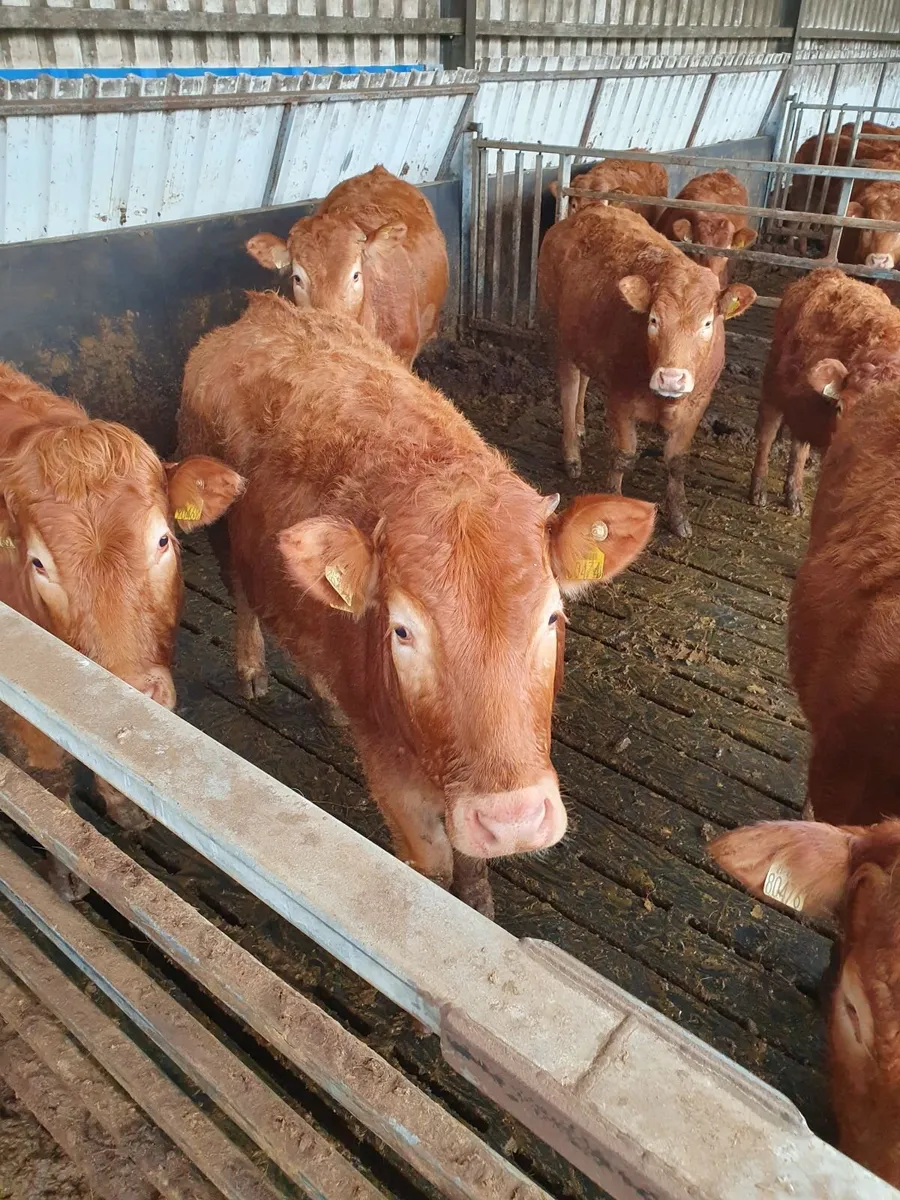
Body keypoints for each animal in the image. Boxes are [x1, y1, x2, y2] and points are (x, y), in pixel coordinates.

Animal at [0, 363, 243, 900]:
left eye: (163, 540)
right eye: (38, 564)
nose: (133, 691)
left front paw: (127, 806)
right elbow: (49, 784)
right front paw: (65, 870)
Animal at [178, 293, 656, 917]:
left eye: (552, 616)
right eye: (403, 631)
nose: (513, 820)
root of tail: (264, 310)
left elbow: (470, 862)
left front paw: (478, 904)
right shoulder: (391, 778)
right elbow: (430, 872)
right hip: (220, 530)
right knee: (242, 597)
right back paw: (253, 669)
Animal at [537, 205, 756, 538]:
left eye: (707, 323)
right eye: (653, 320)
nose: (672, 378)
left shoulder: (697, 405)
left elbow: (677, 461)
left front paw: (679, 517)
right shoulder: (620, 400)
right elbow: (624, 456)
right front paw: (613, 502)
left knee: (583, 381)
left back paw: (580, 425)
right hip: (560, 335)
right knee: (569, 388)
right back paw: (572, 454)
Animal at [749, 268, 900, 515]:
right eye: (839, 408)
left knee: (799, 445)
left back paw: (794, 496)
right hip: (773, 381)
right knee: (768, 432)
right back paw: (758, 489)